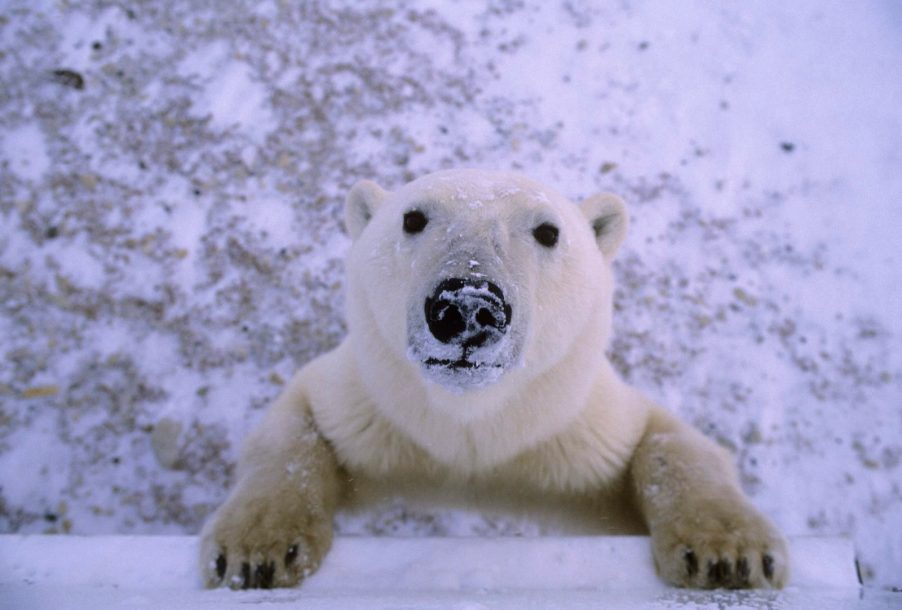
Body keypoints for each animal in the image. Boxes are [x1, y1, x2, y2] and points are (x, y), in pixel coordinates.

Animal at [199, 169, 788, 590]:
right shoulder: (372, 407)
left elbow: (668, 442)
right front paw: (257, 551)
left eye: (548, 230)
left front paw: (728, 554)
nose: (466, 306)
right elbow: (294, 431)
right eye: (412, 218)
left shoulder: (573, 427)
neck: (473, 422)